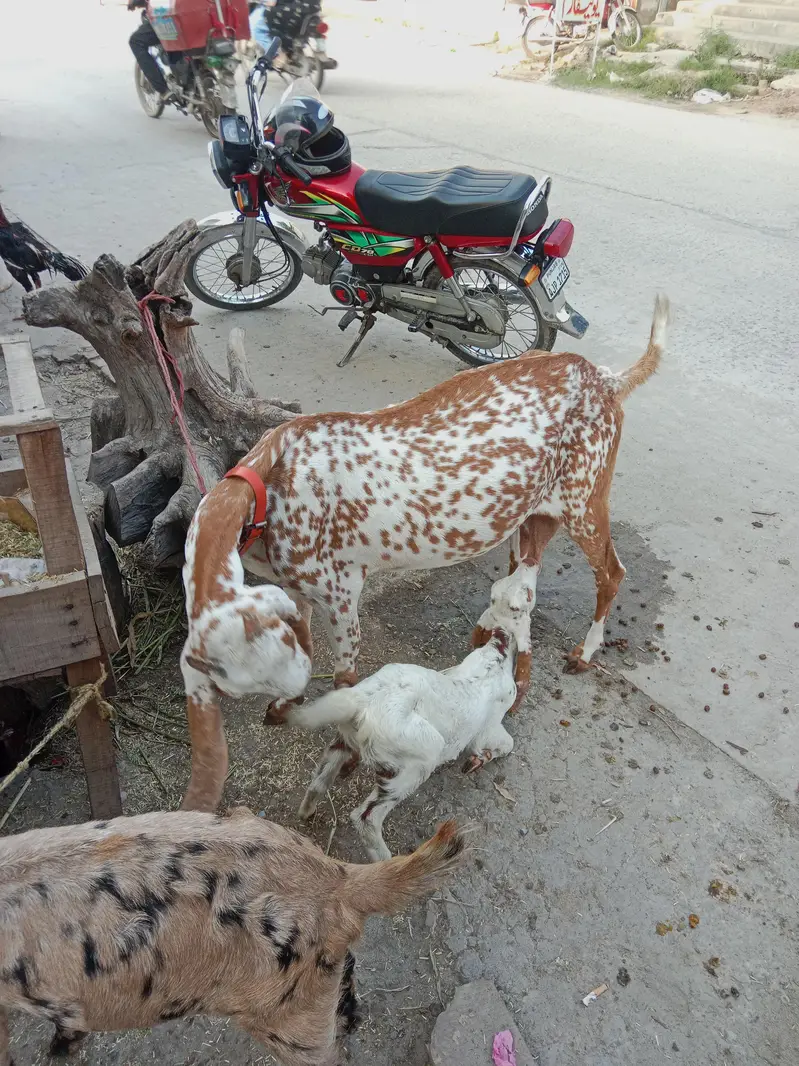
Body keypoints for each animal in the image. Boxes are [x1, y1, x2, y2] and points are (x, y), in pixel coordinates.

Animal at [181, 296, 669, 811]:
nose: (289, 691)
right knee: (524, 581)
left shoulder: (341, 595)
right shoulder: (296, 593)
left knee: (612, 572)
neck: (269, 488)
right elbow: (307, 641)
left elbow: (344, 680)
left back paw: (585, 651)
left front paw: (342, 752)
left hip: (584, 501)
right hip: (532, 515)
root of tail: (605, 376)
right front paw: (283, 709)